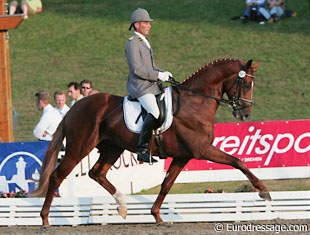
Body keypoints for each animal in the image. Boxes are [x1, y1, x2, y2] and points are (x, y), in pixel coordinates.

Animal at [29, 57, 272, 225]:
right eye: (246, 85)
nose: (245, 114)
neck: (195, 103)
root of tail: (77, 106)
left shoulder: (183, 156)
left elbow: (166, 185)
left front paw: (157, 216)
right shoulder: (202, 149)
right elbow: (237, 161)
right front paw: (263, 191)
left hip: (112, 148)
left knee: (97, 173)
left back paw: (122, 206)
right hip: (79, 148)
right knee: (57, 176)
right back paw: (45, 219)